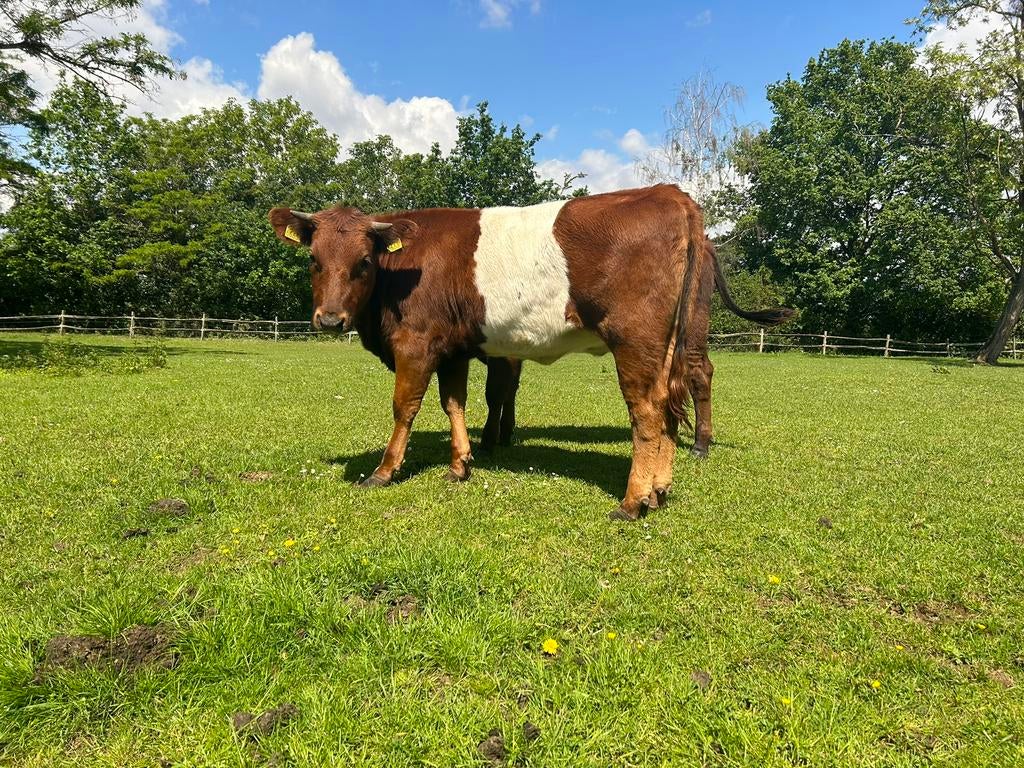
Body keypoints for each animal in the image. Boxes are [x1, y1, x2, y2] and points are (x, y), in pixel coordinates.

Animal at [269, 184, 791, 520]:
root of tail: (672, 194)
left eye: (363, 262)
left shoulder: (416, 344)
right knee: (668, 406)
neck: (400, 274)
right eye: (314, 260)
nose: (329, 319)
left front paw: (383, 471)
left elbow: (405, 407)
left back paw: (632, 501)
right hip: (667, 346)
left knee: (648, 410)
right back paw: (659, 489)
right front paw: (460, 464)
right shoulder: (453, 348)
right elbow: (454, 403)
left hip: (636, 340)